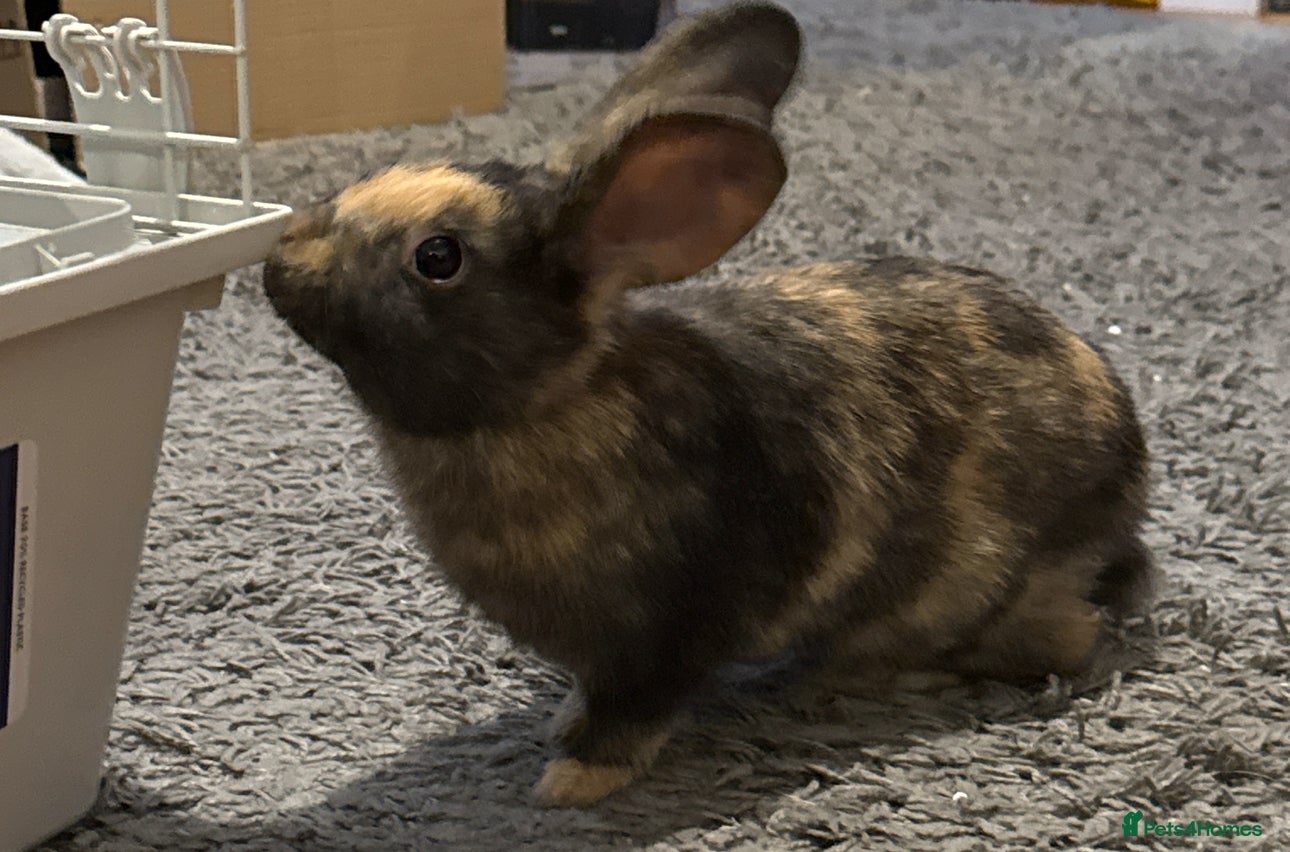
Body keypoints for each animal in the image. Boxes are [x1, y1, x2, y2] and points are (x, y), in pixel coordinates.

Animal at [262, 1, 1152, 808]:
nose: (278, 263)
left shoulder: (667, 635)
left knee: (1070, 642)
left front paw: (572, 782)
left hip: (977, 586)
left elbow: (636, 713)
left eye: (437, 257)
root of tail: (1127, 489)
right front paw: (560, 726)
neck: (546, 401)